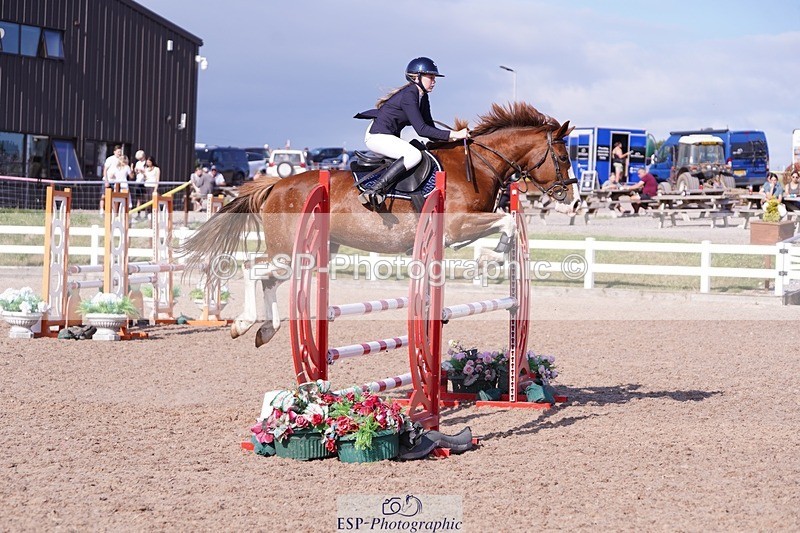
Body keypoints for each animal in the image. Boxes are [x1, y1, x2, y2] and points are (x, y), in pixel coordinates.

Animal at [179, 102, 577, 347]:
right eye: (562, 157)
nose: (571, 198)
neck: (477, 164)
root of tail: (276, 184)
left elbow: (506, 223)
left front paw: (493, 257)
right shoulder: (456, 226)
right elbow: (507, 222)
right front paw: (493, 257)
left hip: (306, 253)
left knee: (268, 279)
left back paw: (265, 330)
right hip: (287, 250)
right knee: (254, 269)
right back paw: (244, 324)